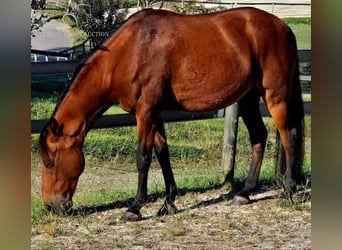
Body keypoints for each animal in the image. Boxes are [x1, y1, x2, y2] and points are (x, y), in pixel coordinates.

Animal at [38, 6, 304, 220]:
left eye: (50, 162)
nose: (51, 206)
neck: (131, 52)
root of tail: (284, 27)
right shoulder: (154, 114)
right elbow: (162, 154)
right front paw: (168, 203)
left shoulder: (145, 113)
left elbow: (143, 158)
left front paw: (135, 208)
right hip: (248, 98)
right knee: (259, 136)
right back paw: (245, 193)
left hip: (275, 96)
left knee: (288, 135)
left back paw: (289, 191)